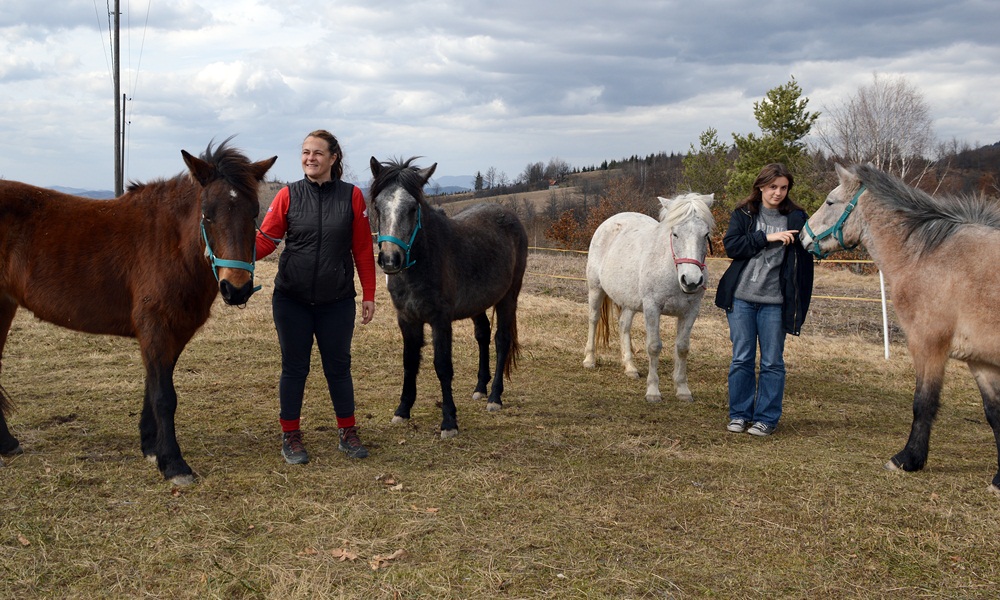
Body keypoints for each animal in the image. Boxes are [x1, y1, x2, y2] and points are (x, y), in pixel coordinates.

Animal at [0, 139, 278, 482]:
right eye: (207, 214)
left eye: (254, 213)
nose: (235, 288)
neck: (170, 242)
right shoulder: (156, 328)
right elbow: (164, 396)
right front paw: (173, 463)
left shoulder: (174, 332)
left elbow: (153, 387)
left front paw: (150, 446)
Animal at [584, 193, 716, 404]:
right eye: (675, 234)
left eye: (705, 234)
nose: (691, 281)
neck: (671, 269)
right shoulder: (652, 308)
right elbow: (654, 347)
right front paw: (653, 391)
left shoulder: (690, 311)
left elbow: (682, 348)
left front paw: (683, 390)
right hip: (596, 289)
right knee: (594, 319)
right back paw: (589, 359)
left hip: (629, 303)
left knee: (624, 325)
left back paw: (630, 367)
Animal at [800, 164, 1000, 492]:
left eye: (830, 202)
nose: (803, 237)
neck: (929, 256)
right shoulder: (981, 361)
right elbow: (994, 413)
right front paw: (999, 479)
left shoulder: (928, 345)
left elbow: (924, 403)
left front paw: (908, 459)